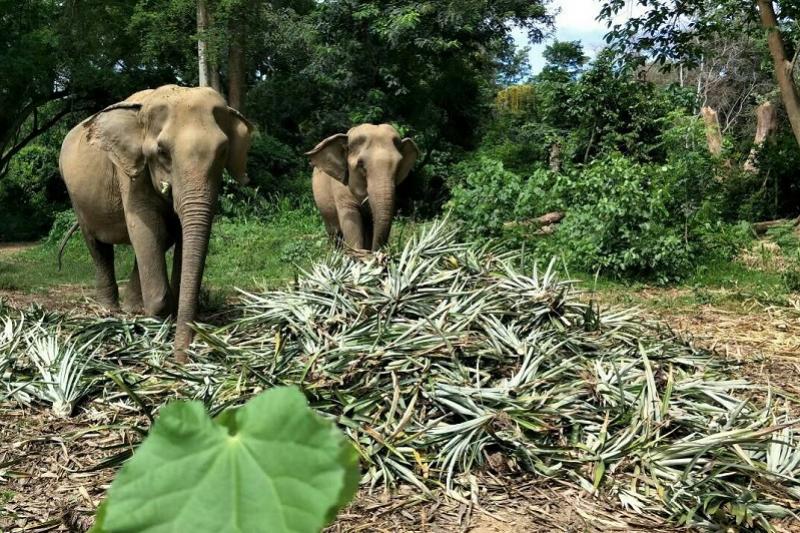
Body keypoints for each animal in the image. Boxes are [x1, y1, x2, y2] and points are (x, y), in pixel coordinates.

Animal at [59, 85, 252, 362]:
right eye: (162, 152)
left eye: (223, 151)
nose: (181, 359)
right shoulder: (129, 172)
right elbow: (145, 225)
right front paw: (158, 320)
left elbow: (173, 233)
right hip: (75, 195)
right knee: (98, 246)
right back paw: (109, 311)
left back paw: (132, 308)